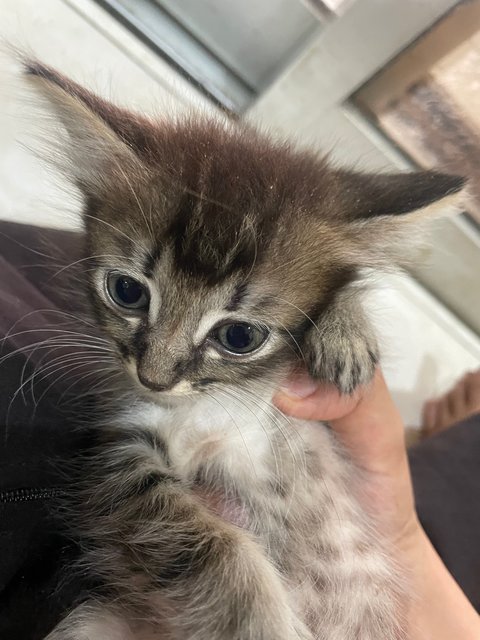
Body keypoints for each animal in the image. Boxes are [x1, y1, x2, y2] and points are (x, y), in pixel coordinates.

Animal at [23, 61, 464, 640]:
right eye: (127, 291)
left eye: (238, 338)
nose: (154, 377)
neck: (214, 404)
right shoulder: (121, 453)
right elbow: (207, 545)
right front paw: (257, 621)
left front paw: (344, 329)